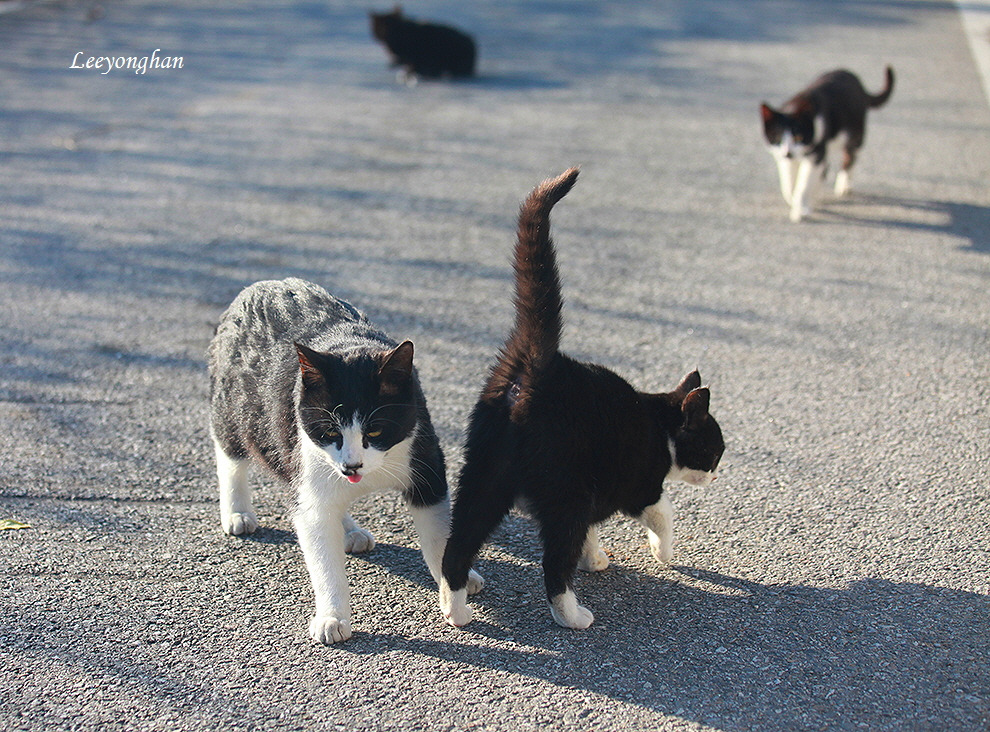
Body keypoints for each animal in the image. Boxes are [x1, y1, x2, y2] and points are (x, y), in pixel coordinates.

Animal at [210, 278, 484, 644]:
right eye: (330, 431)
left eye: (376, 430)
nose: (351, 465)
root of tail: (260, 285)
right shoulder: (308, 474)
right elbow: (322, 553)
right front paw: (332, 616)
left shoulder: (425, 462)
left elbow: (438, 536)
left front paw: (454, 594)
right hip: (236, 409)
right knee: (230, 454)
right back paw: (237, 511)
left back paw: (351, 530)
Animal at [442, 169, 728, 632]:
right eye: (715, 451)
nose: (716, 476)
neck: (661, 425)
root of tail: (537, 364)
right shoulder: (642, 488)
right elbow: (664, 515)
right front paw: (664, 554)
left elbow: (592, 534)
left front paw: (594, 559)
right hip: (565, 491)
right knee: (554, 562)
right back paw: (572, 615)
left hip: (486, 475)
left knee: (458, 544)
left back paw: (456, 610)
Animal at [764, 67, 896, 222]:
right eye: (777, 138)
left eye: (798, 136)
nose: (788, 153)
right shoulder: (786, 157)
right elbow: (789, 185)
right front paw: (797, 202)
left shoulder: (816, 154)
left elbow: (804, 185)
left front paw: (801, 208)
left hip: (854, 137)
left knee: (849, 159)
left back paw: (843, 185)